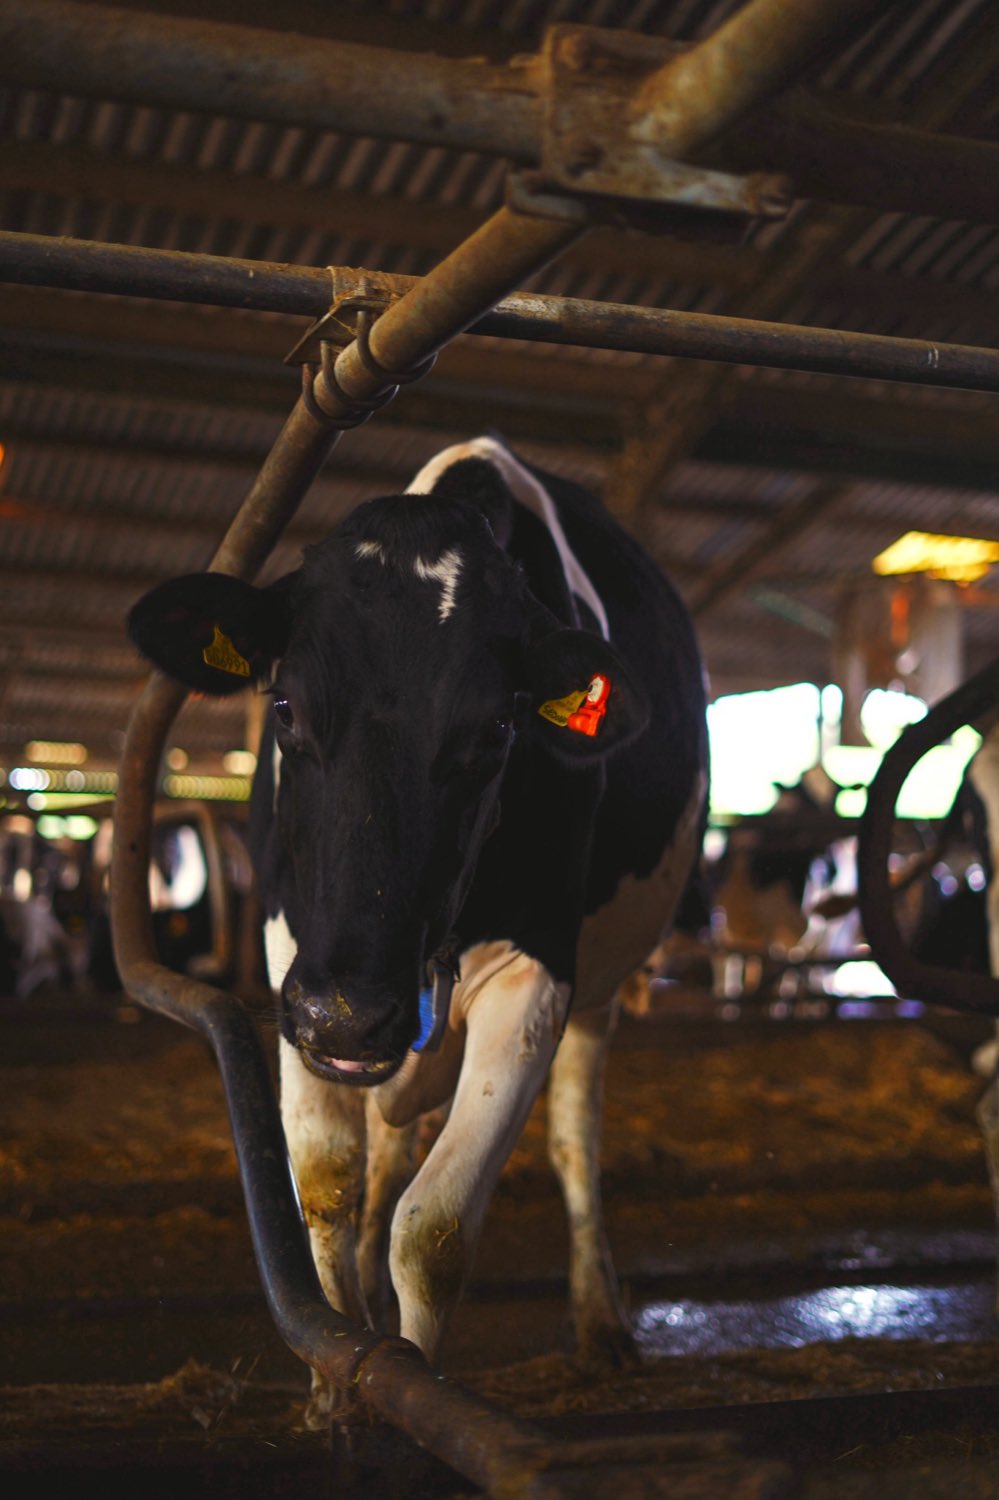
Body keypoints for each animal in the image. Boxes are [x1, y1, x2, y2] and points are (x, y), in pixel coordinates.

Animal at [127, 436, 707, 1417]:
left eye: (499, 727)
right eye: (284, 707)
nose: (351, 1015)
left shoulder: (535, 980)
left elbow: (432, 1228)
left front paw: (405, 1394)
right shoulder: (293, 962)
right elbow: (326, 1182)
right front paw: (334, 1384)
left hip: (599, 991)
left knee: (572, 1141)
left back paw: (600, 1321)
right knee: (391, 1144)